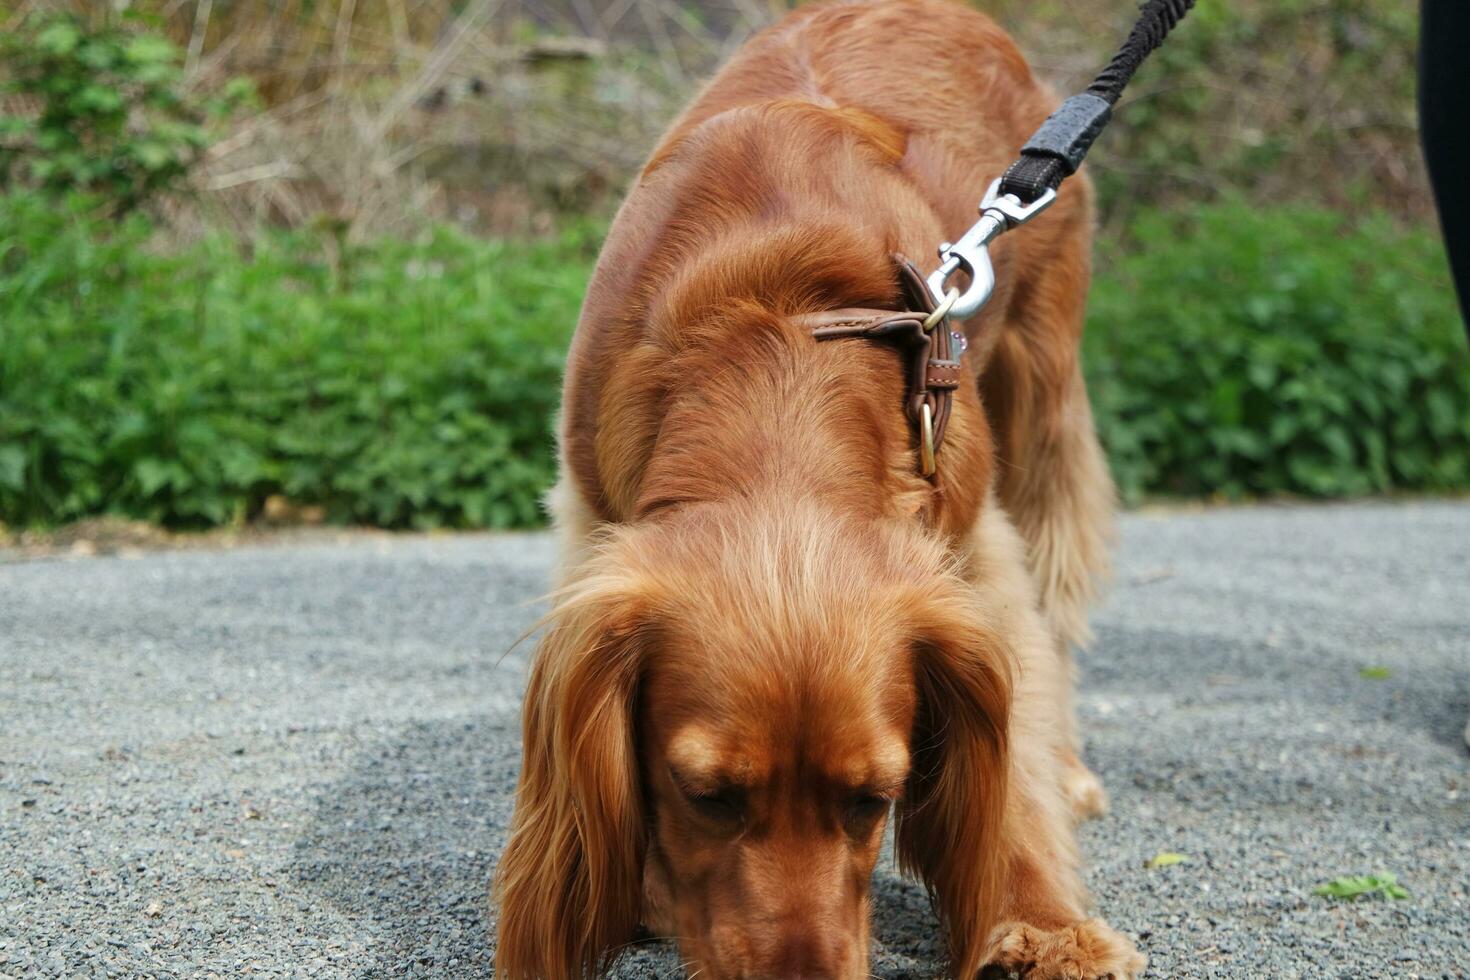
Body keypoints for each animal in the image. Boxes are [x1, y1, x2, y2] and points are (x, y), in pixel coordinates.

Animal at [493, 3, 1134, 975]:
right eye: (707, 794)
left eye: (875, 798)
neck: (781, 334)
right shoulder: (590, 519)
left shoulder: (969, 545)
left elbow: (1011, 750)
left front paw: (1042, 920)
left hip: (1040, 387)